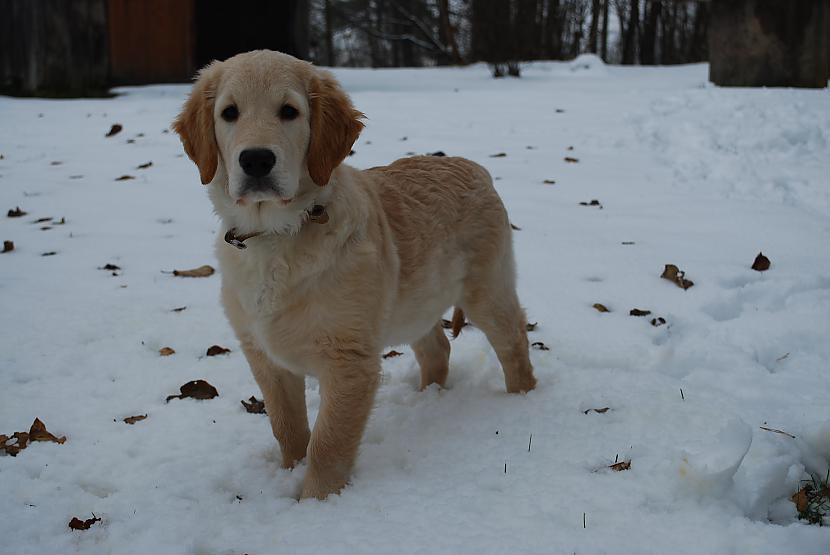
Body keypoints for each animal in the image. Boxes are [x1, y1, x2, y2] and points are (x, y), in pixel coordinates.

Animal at [176, 50, 540, 500]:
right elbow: (287, 427)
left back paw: (520, 402)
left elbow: (329, 441)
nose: (256, 159)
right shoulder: (264, 354)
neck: (281, 233)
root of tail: (473, 166)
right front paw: (290, 472)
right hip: (415, 300)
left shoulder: (348, 359)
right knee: (437, 348)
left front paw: (316, 501)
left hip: (486, 288)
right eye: (229, 113)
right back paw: (429, 397)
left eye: (289, 111)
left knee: (514, 341)